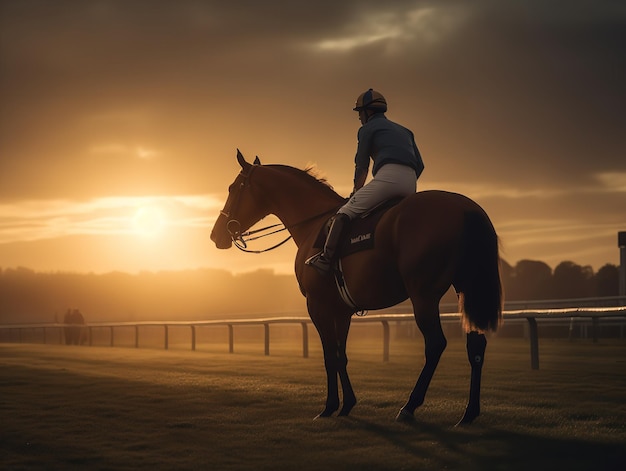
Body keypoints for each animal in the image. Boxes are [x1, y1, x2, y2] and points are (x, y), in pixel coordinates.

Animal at [211, 151, 502, 428]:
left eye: (233, 187)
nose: (216, 235)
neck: (313, 226)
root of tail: (465, 207)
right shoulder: (342, 311)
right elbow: (342, 355)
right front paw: (347, 404)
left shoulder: (317, 305)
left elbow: (330, 355)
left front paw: (329, 407)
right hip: (466, 290)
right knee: (476, 345)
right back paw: (468, 413)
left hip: (424, 295)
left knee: (435, 344)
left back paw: (409, 407)